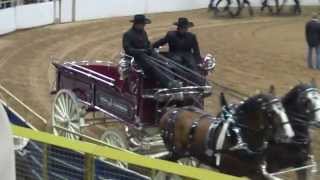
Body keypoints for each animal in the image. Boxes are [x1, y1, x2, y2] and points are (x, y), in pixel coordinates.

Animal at [160, 92, 296, 179]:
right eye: (270, 112)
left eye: (283, 109)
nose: (288, 135)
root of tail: (171, 111)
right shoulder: (228, 172)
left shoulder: (255, 172)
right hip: (176, 151)